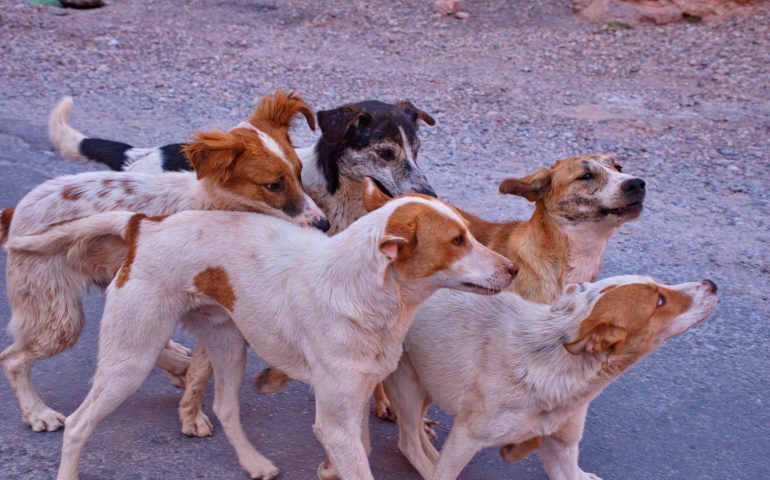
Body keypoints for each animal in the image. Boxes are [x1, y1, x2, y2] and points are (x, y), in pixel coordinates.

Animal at [0, 90, 328, 432]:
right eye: (273, 185)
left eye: (299, 172)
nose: (324, 224)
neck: (215, 205)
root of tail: (16, 210)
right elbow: (205, 367)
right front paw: (192, 416)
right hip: (60, 316)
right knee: (11, 358)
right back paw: (37, 411)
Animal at [7, 180, 516, 480]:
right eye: (456, 241)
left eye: (469, 232)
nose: (512, 269)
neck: (367, 296)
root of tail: (144, 225)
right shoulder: (335, 421)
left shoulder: (353, 406)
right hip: (128, 360)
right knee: (74, 421)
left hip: (229, 344)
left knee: (225, 408)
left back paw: (252, 462)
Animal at [388, 276, 716, 478]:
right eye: (660, 300)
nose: (711, 285)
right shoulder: (465, 439)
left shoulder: (561, 448)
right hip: (409, 384)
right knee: (407, 443)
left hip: (428, 380)